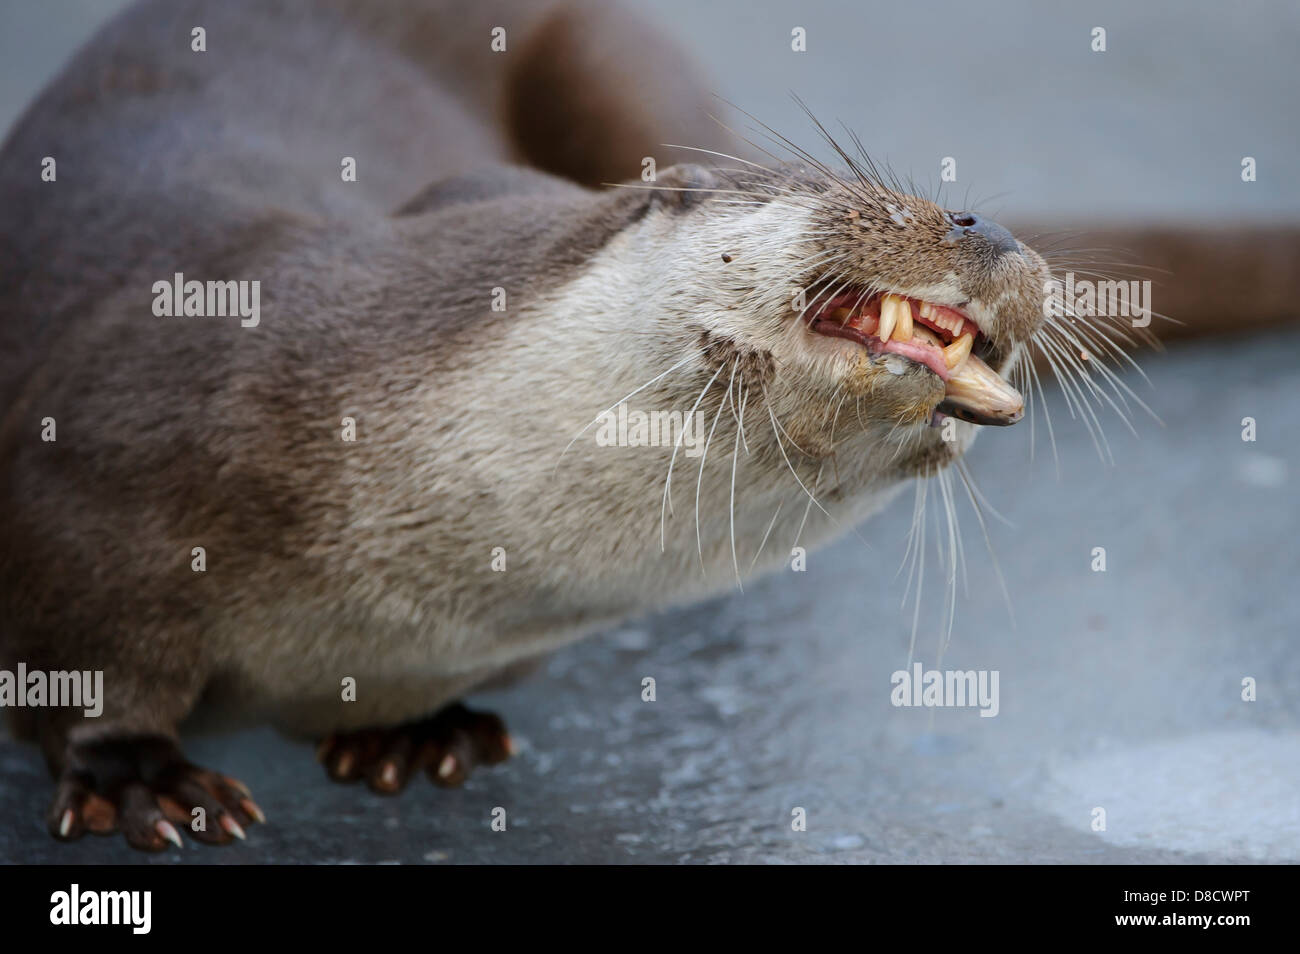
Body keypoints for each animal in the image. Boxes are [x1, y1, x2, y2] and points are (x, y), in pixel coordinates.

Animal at [0, 0, 1055, 852]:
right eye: (895, 199)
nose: (996, 231)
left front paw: (410, 730)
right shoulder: (83, 480)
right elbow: (80, 667)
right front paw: (138, 780)